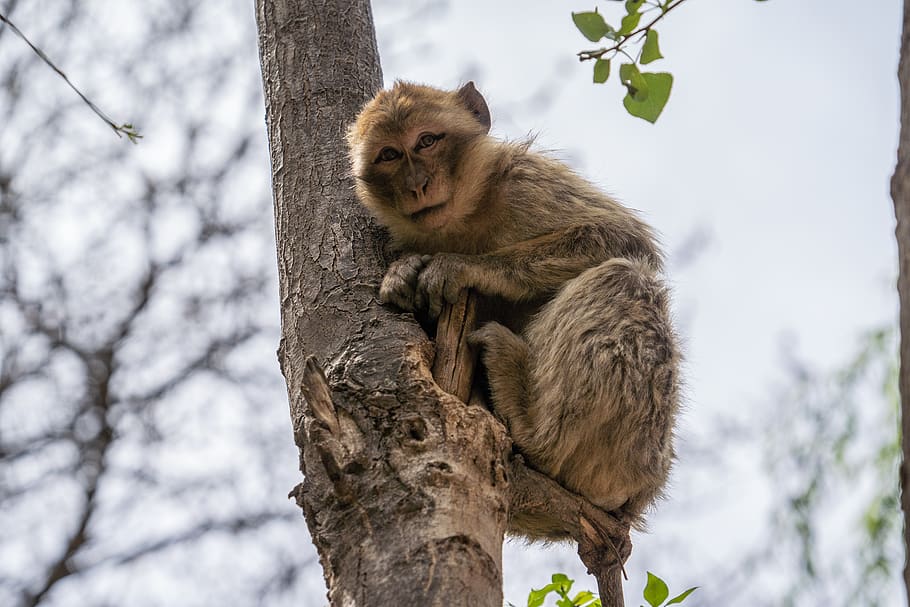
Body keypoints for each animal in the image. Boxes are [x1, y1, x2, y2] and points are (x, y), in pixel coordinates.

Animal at [347, 81, 680, 539]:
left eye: (427, 141)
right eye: (390, 155)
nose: (417, 183)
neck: (464, 221)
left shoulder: (524, 182)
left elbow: (623, 240)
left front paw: (462, 266)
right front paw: (403, 272)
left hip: (634, 450)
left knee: (623, 280)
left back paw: (534, 431)